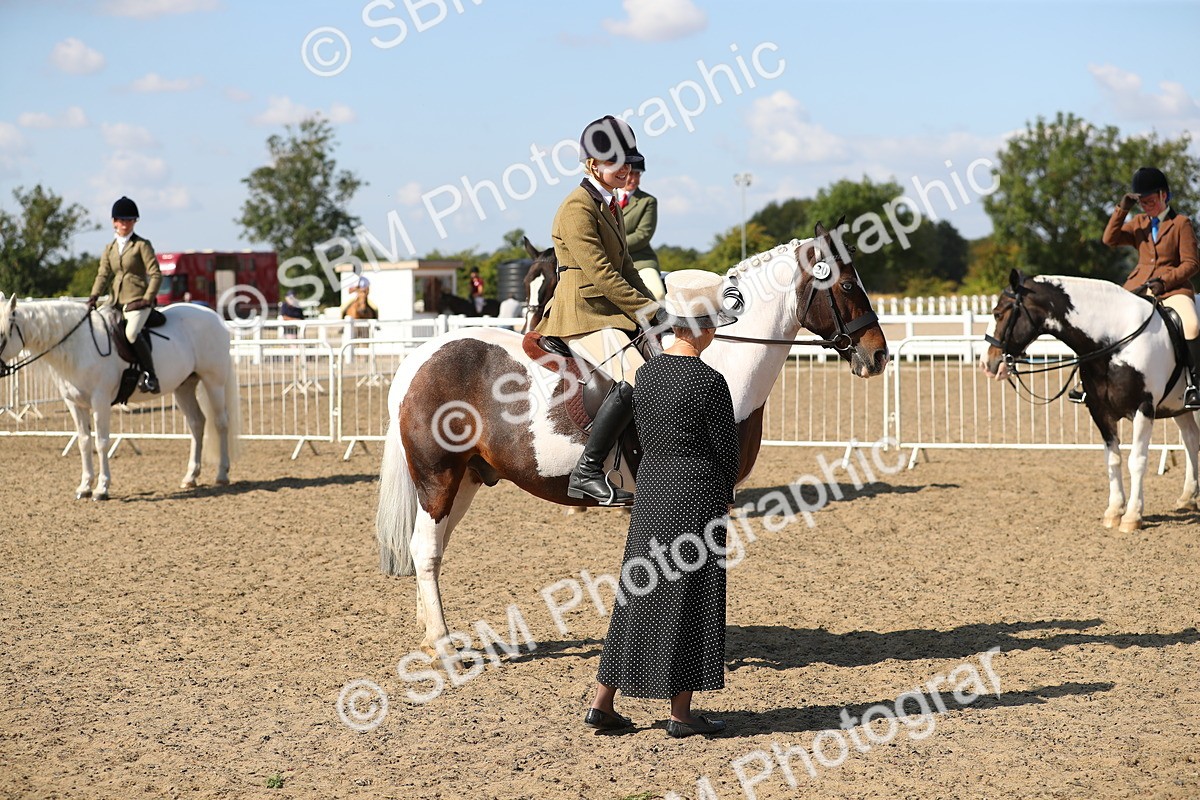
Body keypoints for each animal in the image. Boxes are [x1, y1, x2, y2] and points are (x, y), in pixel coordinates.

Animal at [0, 295, 242, 500]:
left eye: (2, 335)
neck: (79, 345)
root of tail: (214, 316)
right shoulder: (75, 404)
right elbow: (84, 442)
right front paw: (84, 487)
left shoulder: (100, 401)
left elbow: (101, 442)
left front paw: (102, 488)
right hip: (184, 387)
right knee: (196, 423)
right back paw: (190, 477)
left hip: (213, 382)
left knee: (221, 423)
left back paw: (222, 474)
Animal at [376, 222, 890, 655]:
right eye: (847, 286)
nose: (878, 355)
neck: (718, 360)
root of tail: (419, 357)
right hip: (438, 477)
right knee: (424, 549)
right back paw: (442, 642)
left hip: (465, 479)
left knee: (433, 549)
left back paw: (429, 631)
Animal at [982, 269, 1200, 533]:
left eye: (998, 313)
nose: (987, 364)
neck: (1115, 342)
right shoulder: (1099, 411)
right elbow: (1113, 459)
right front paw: (1114, 511)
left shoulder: (1144, 409)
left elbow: (1136, 461)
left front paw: (1132, 516)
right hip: (1180, 409)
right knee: (1191, 441)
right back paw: (1188, 498)